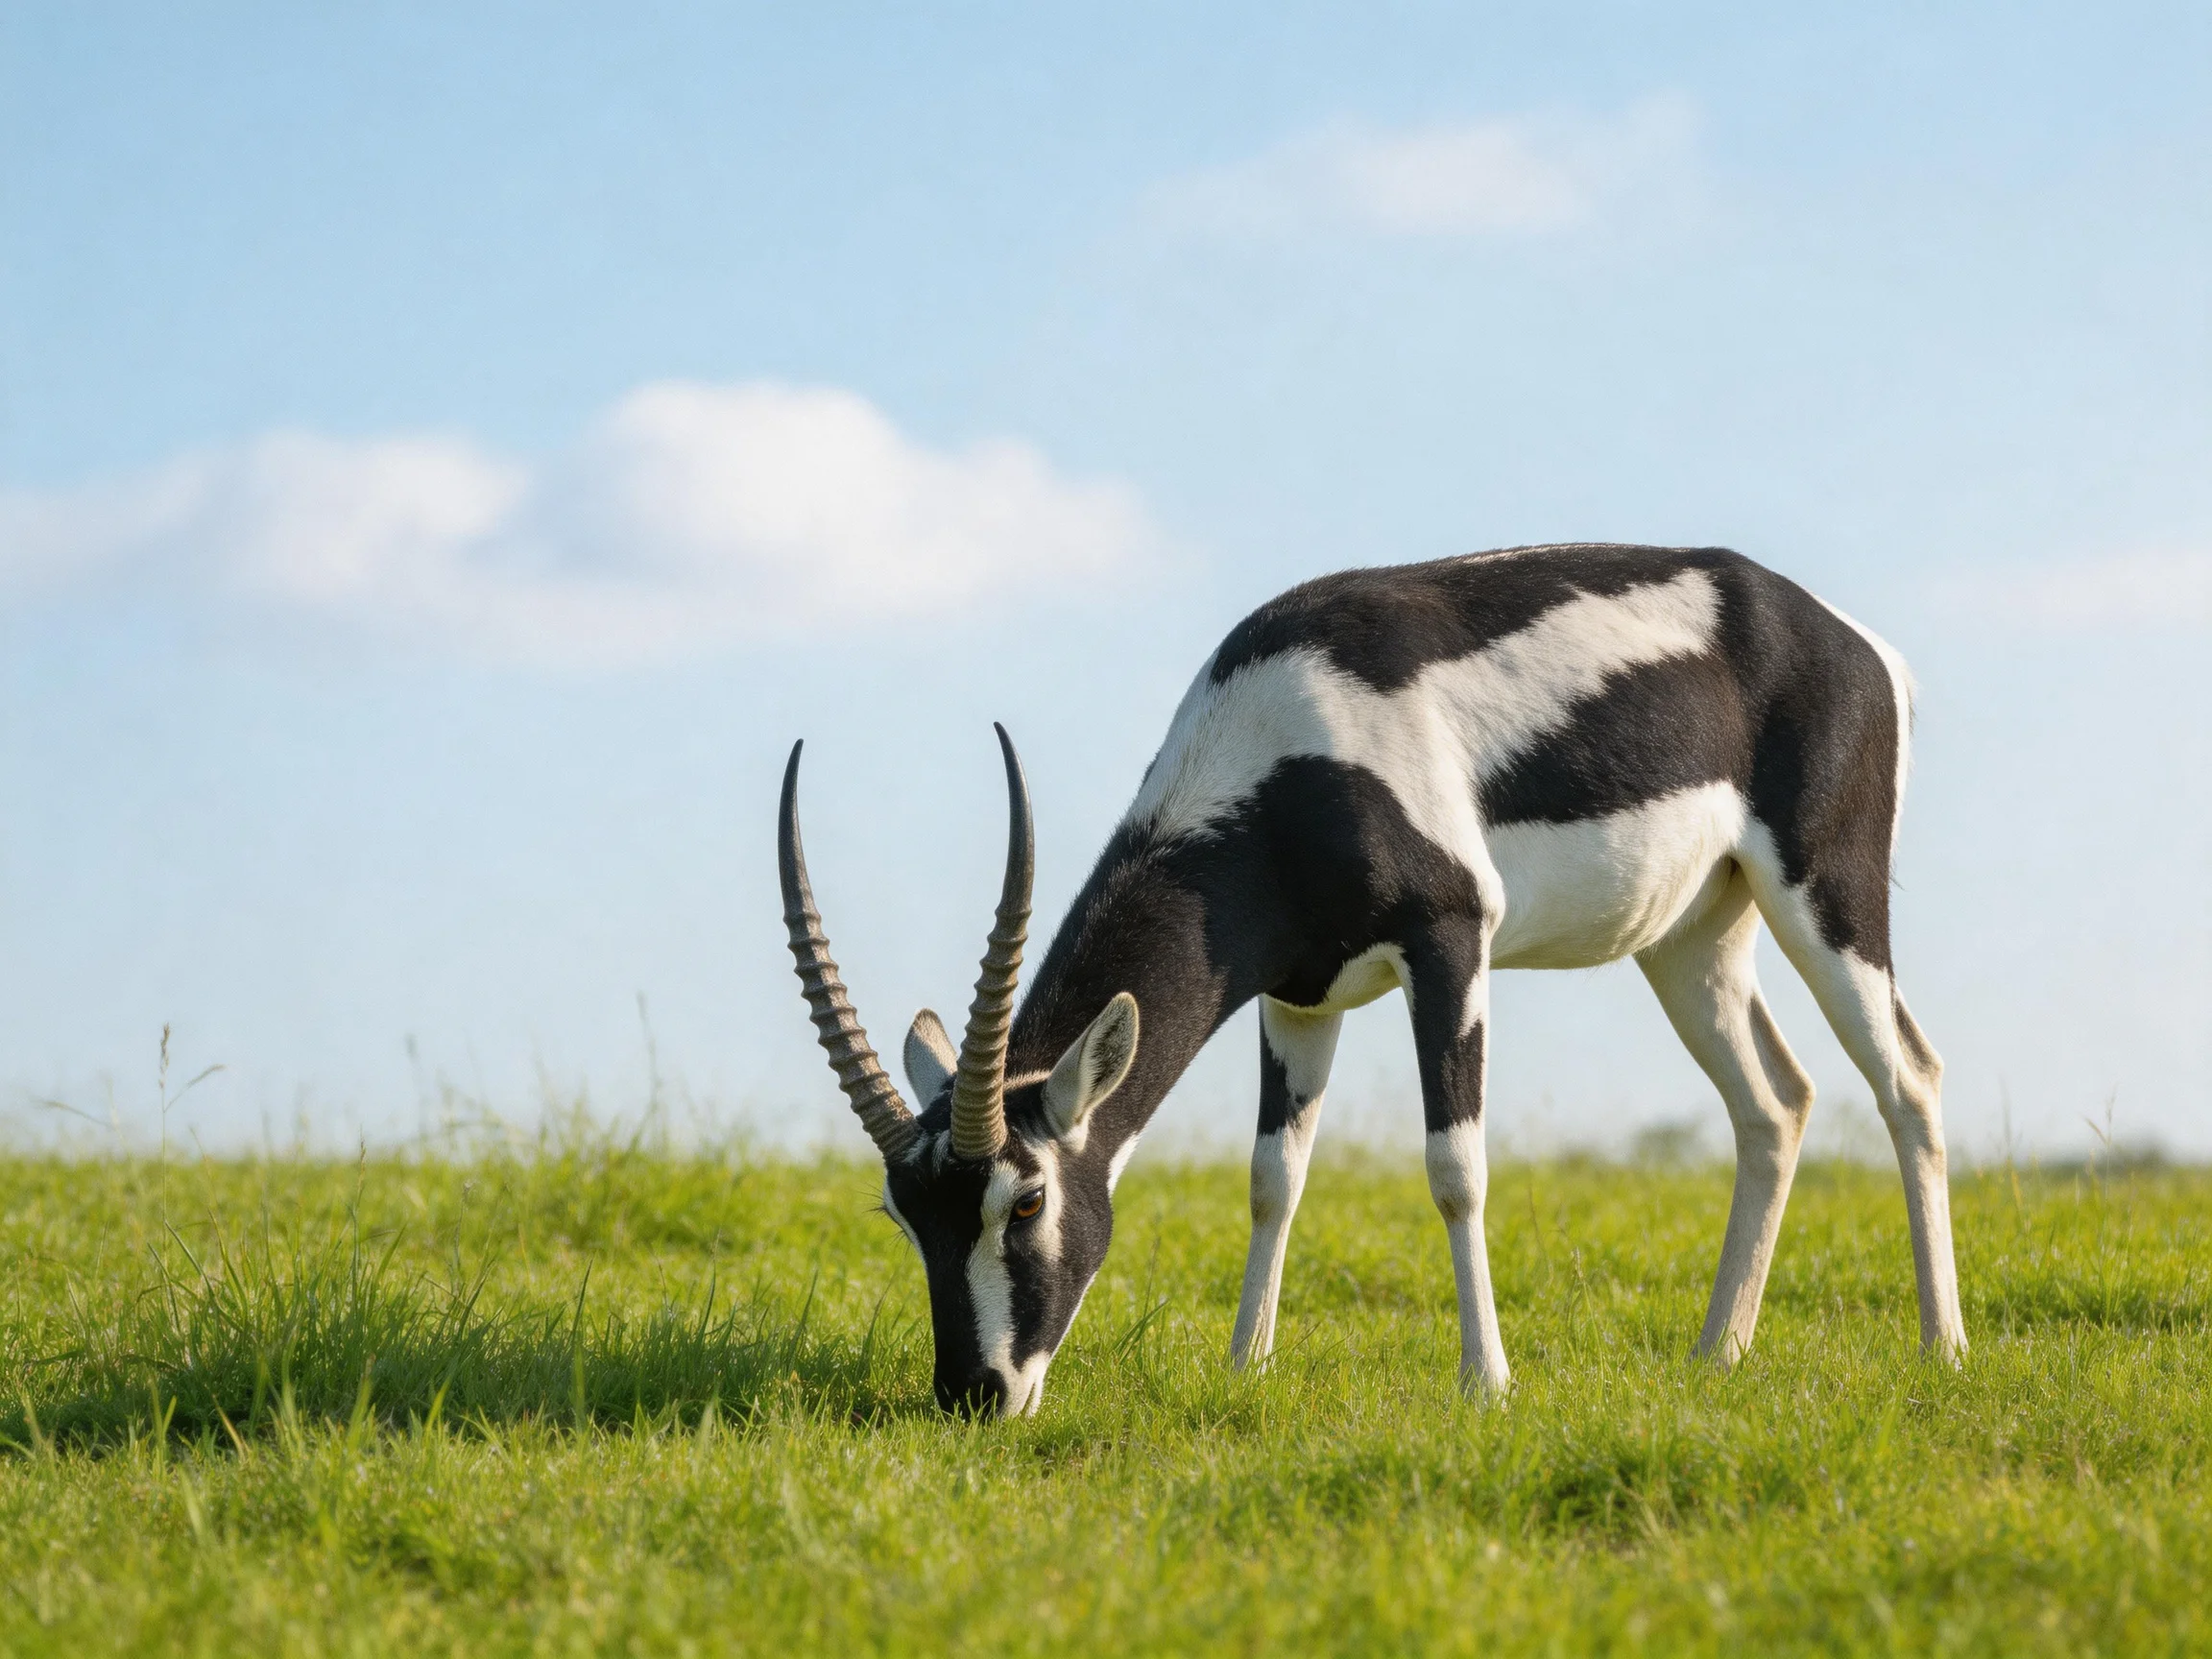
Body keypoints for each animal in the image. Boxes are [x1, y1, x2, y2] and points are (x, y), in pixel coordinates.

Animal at [779, 544, 1966, 1416]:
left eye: (1024, 1198)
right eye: (903, 1216)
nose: (974, 1394)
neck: (1289, 741)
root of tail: (1850, 641)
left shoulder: (1451, 944)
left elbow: (1455, 1167)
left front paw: (1486, 1383)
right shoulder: (1296, 997)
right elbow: (1274, 1176)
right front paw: (1246, 1366)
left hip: (1827, 897)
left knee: (1908, 1076)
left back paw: (1941, 1350)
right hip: (1691, 941)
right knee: (1777, 1102)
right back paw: (1717, 1354)